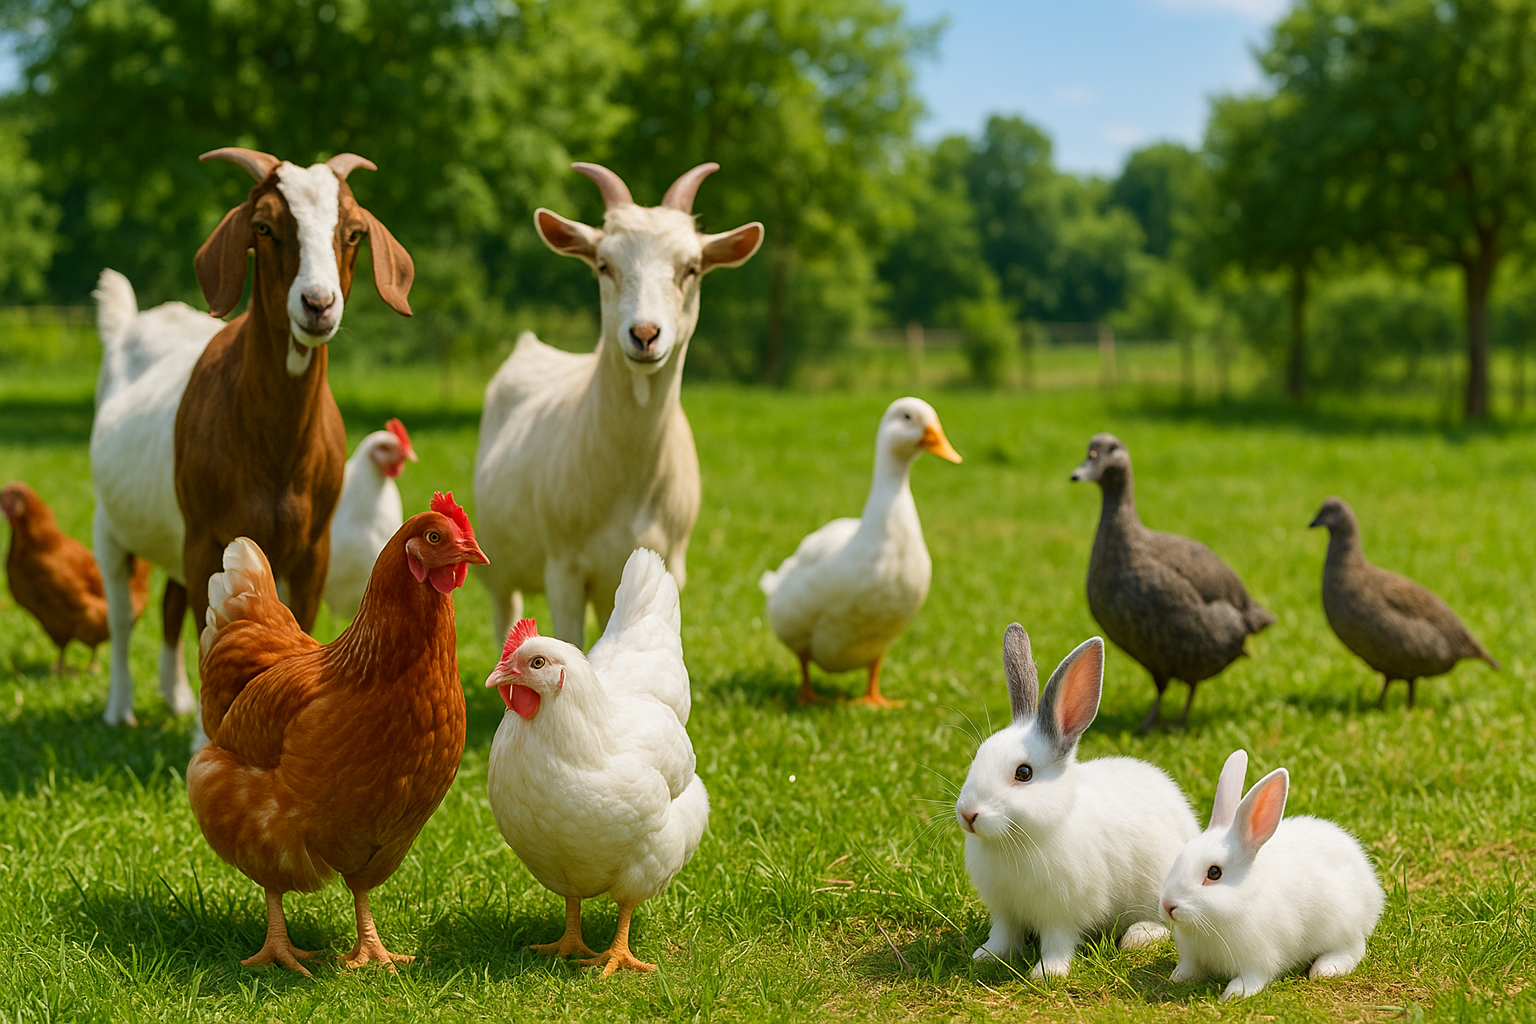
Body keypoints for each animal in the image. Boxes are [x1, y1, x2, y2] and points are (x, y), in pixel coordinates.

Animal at [473, 162, 762, 646]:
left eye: (692, 268)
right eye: (604, 265)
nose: (644, 334)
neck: (629, 482)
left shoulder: (667, 565)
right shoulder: (564, 568)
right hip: (499, 566)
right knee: (503, 613)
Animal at [955, 624, 1200, 977]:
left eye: (1024, 773)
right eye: (978, 757)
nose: (968, 814)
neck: (1015, 841)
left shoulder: (1062, 912)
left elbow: (1057, 941)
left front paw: (1048, 973)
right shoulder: (1004, 910)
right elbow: (1003, 935)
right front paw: (986, 956)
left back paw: (1137, 936)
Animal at [1158, 749, 1386, 1000]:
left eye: (1214, 873)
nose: (1168, 905)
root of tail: (1372, 888)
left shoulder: (1258, 959)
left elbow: (1252, 978)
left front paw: (1234, 994)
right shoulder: (1192, 955)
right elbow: (1189, 968)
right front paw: (1177, 978)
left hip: (1341, 923)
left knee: (1354, 948)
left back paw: (1325, 969)